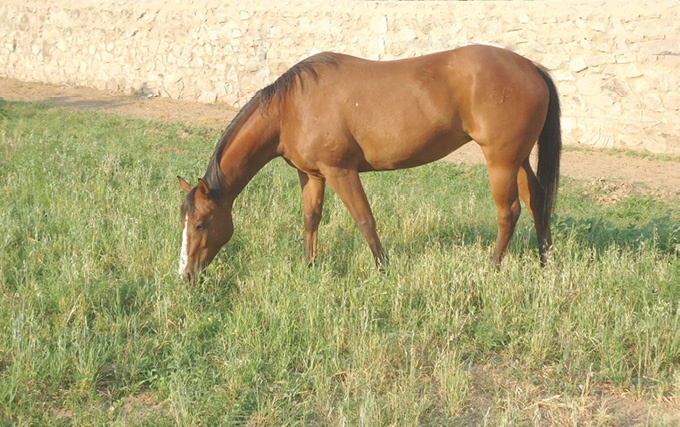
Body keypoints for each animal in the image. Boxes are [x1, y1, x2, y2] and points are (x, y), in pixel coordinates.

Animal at [178, 45, 560, 282]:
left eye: (200, 223)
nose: (186, 276)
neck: (291, 109)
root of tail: (531, 67)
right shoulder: (311, 174)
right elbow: (311, 219)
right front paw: (309, 266)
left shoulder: (340, 171)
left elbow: (364, 220)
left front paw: (382, 270)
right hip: (518, 159)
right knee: (537, 201)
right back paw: (545, 263)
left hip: (501, 160)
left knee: (508, 212)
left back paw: (492, 269)